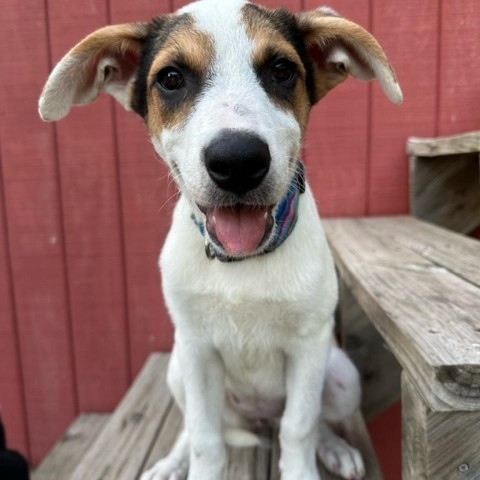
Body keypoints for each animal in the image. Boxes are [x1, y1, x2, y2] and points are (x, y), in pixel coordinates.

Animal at [39, 1, 404, 478]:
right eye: (171, 78)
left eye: (282, 70)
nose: (238, 161)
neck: (243, 264)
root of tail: (258, 418)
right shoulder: (197, 351)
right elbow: (205, 438)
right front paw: (194, 463)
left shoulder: (309, 347)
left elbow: (300, 427)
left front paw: (305, 464)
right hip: (177, 368)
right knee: (190, 427)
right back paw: (171, 462)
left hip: (343, 378)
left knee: (309, 421)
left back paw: (333, 448)